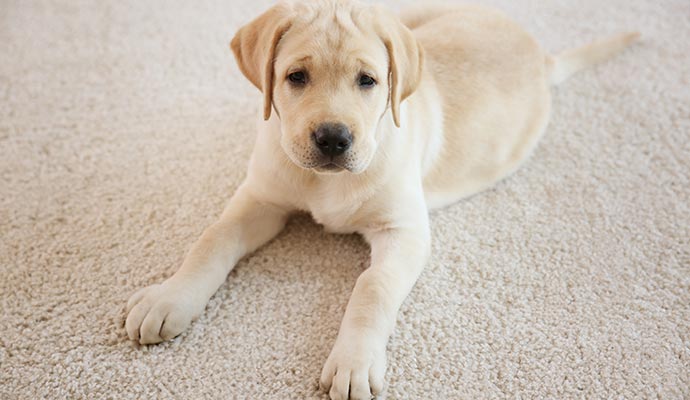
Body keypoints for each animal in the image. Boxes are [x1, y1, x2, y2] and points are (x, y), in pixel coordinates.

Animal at [123, 1, 636, 398]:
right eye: (296, 76)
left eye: (367, 81)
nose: (333, 138)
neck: (324, 183)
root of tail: (540, 54)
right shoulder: (261, 198)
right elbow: (212, 238)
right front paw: (169, 298)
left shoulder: (404, 233)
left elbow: (373, 286)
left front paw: (354, 362)